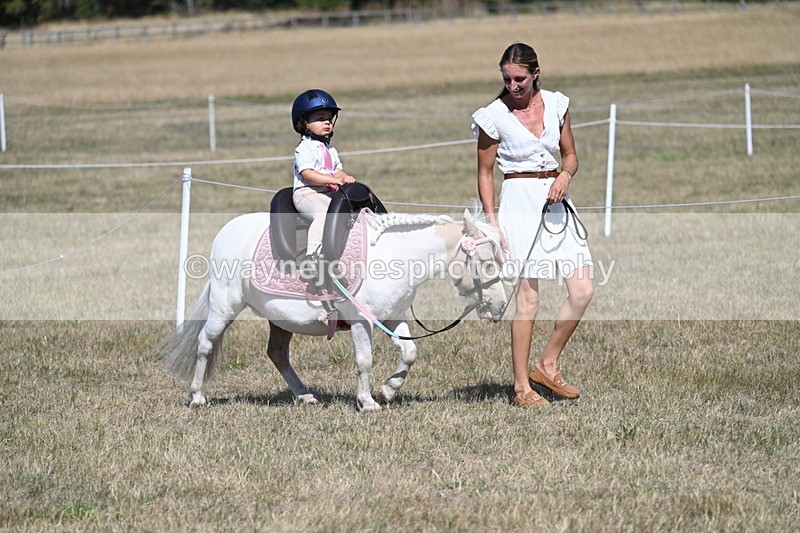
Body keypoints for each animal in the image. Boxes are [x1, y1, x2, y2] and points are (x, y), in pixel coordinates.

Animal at [156, 208, 508, 412]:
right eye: (487, 262)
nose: (500, 307)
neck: (396, 255)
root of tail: (226, 231)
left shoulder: (394, 316)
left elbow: (409, 354)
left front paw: (387, 392)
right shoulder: (361, 321)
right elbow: (364, 360)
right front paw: (367, 402)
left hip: (279, 320)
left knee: (277, 354)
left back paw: (305, 396)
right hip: (224, 306)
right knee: (205, 344)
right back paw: (197, 397)